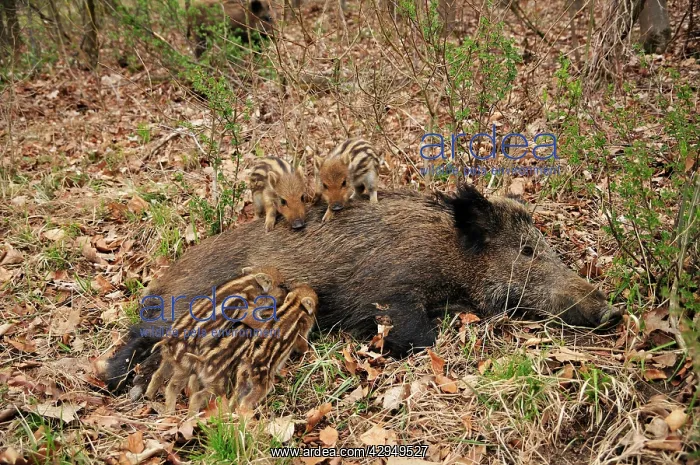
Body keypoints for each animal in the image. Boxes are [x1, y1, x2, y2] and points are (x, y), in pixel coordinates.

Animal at [104, 186, 619, 393]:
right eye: (528, 251)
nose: (611, 310)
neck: (451, 259)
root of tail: (162, 277)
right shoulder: (392, 290)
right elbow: (421, 336)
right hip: (183, 306)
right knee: (136, 335)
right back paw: (114, 380)